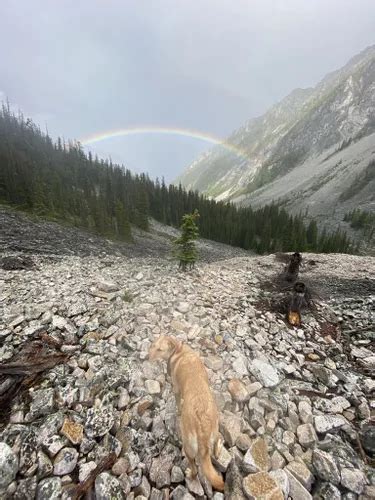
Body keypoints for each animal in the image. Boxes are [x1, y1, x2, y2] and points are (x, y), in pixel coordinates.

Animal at [148, 336, 225, 492]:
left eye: (160, 349)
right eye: (153, 345)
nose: (146, 357)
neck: (179, 351)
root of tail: (203, 429)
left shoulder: (176, 390)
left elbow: (178, 404)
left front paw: (178, 412)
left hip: (188, 447)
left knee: (195, 468)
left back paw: (190, 474)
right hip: (215, 432)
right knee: (215, 448)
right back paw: (218, 448)